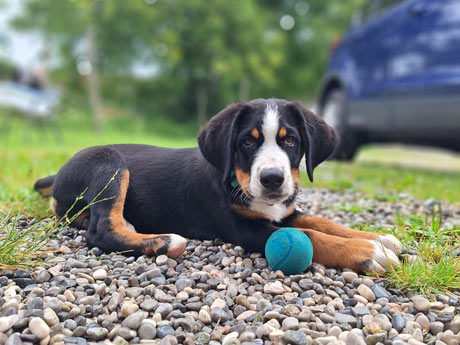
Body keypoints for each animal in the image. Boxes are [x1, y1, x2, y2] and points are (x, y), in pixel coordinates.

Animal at [35, 98, 402, 272]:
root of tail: (59, 173)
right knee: (99, 231)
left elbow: (322, 222)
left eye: (290, 140)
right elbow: (311, 236)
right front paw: (367, 252)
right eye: (247, 142)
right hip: (110, 163)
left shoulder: (284, 212)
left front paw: (378, 238)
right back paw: (164, 242)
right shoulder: (244, 228)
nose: (272, 179)